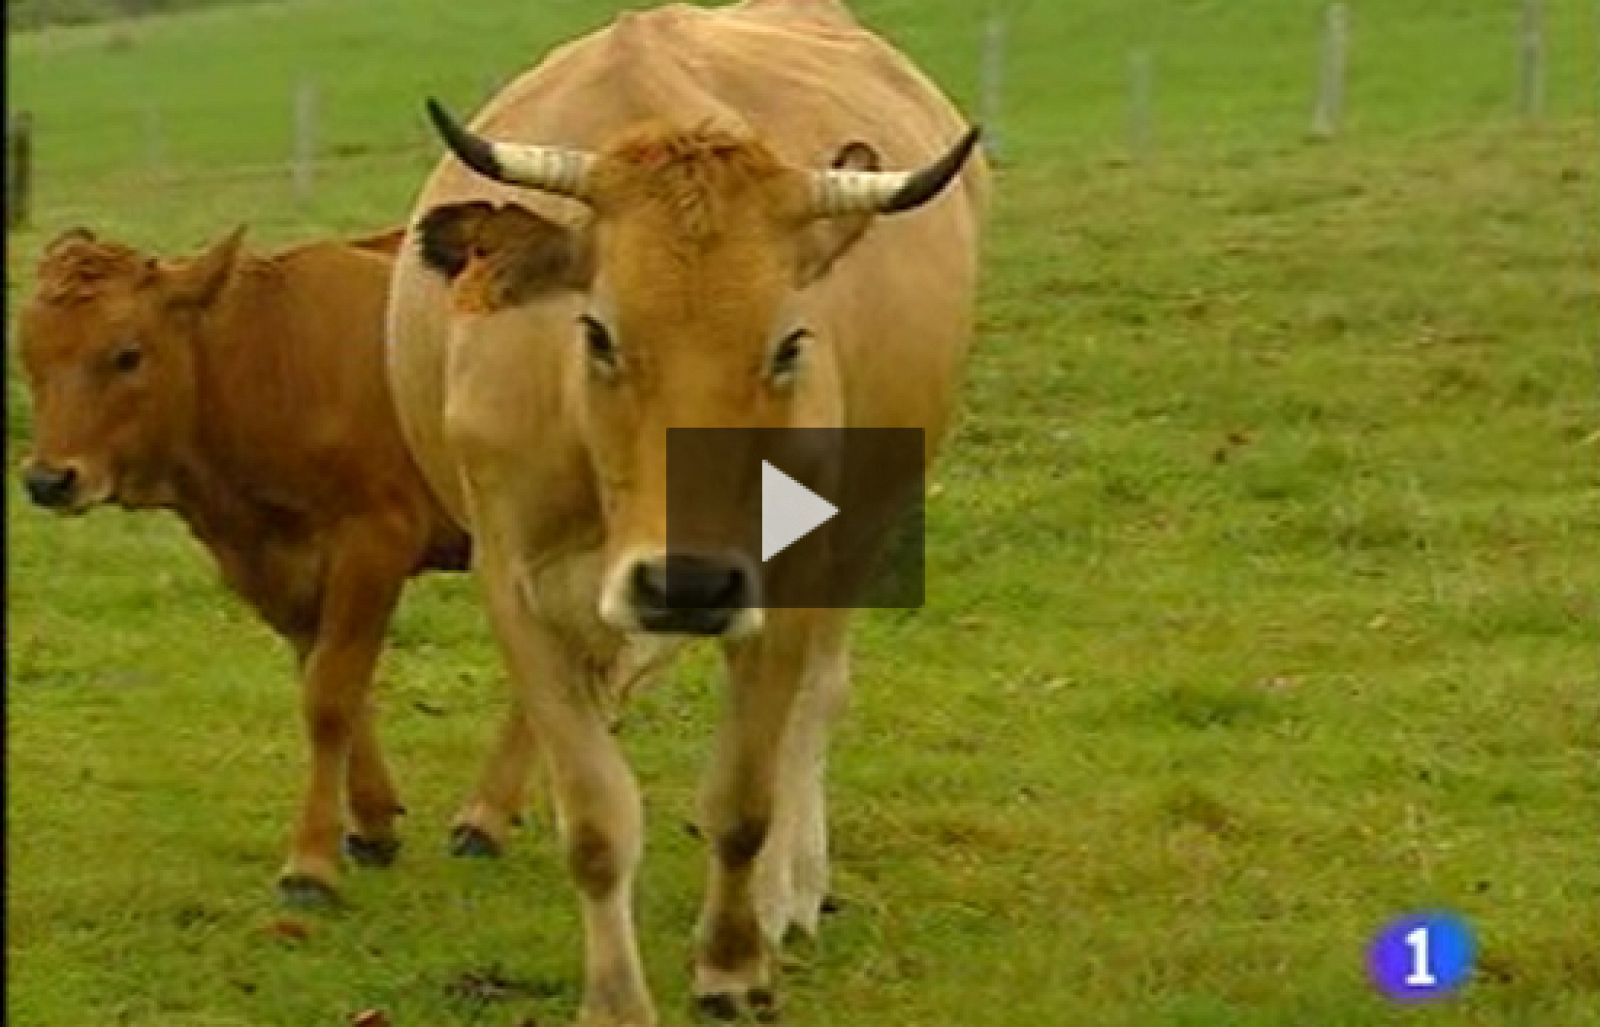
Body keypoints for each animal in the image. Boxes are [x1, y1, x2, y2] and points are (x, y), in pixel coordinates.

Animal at [388, 3, 985, 1017]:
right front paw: (615, 999)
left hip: (865, 525)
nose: (690, 581)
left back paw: (792, 892)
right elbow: (595, 819)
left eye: (788, 342)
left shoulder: (788, 572)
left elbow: (743, 800)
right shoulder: (514, 588)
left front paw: (734, 962)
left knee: (815, 705)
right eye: (597, 332)